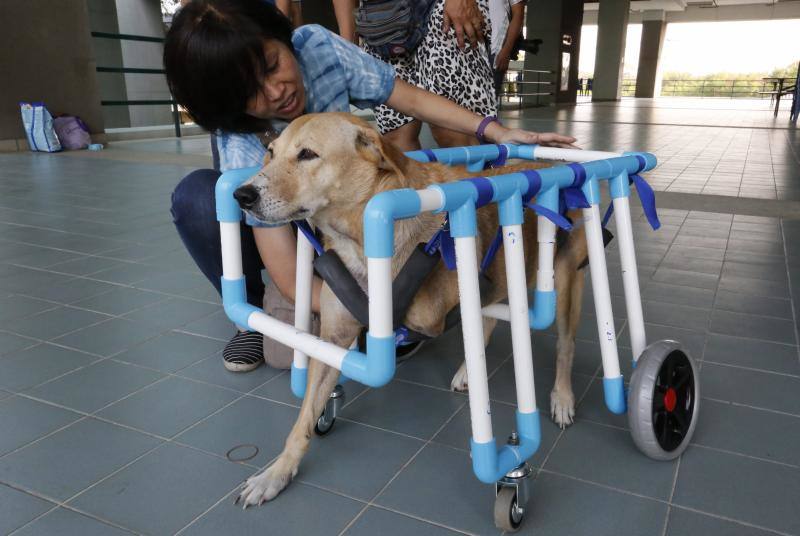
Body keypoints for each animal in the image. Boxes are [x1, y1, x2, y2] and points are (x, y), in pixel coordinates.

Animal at [231, 113, 588, 506]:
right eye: (270, 152)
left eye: (308, 154)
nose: (241, 195)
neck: (358, 237)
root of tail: (547, 163)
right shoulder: (333, 338)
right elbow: (303, 420)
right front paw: (276, 473)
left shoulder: (430, 312)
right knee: (488, 317)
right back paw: (468, 371)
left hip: (567, 279)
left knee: (565, 344)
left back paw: (562, 398)